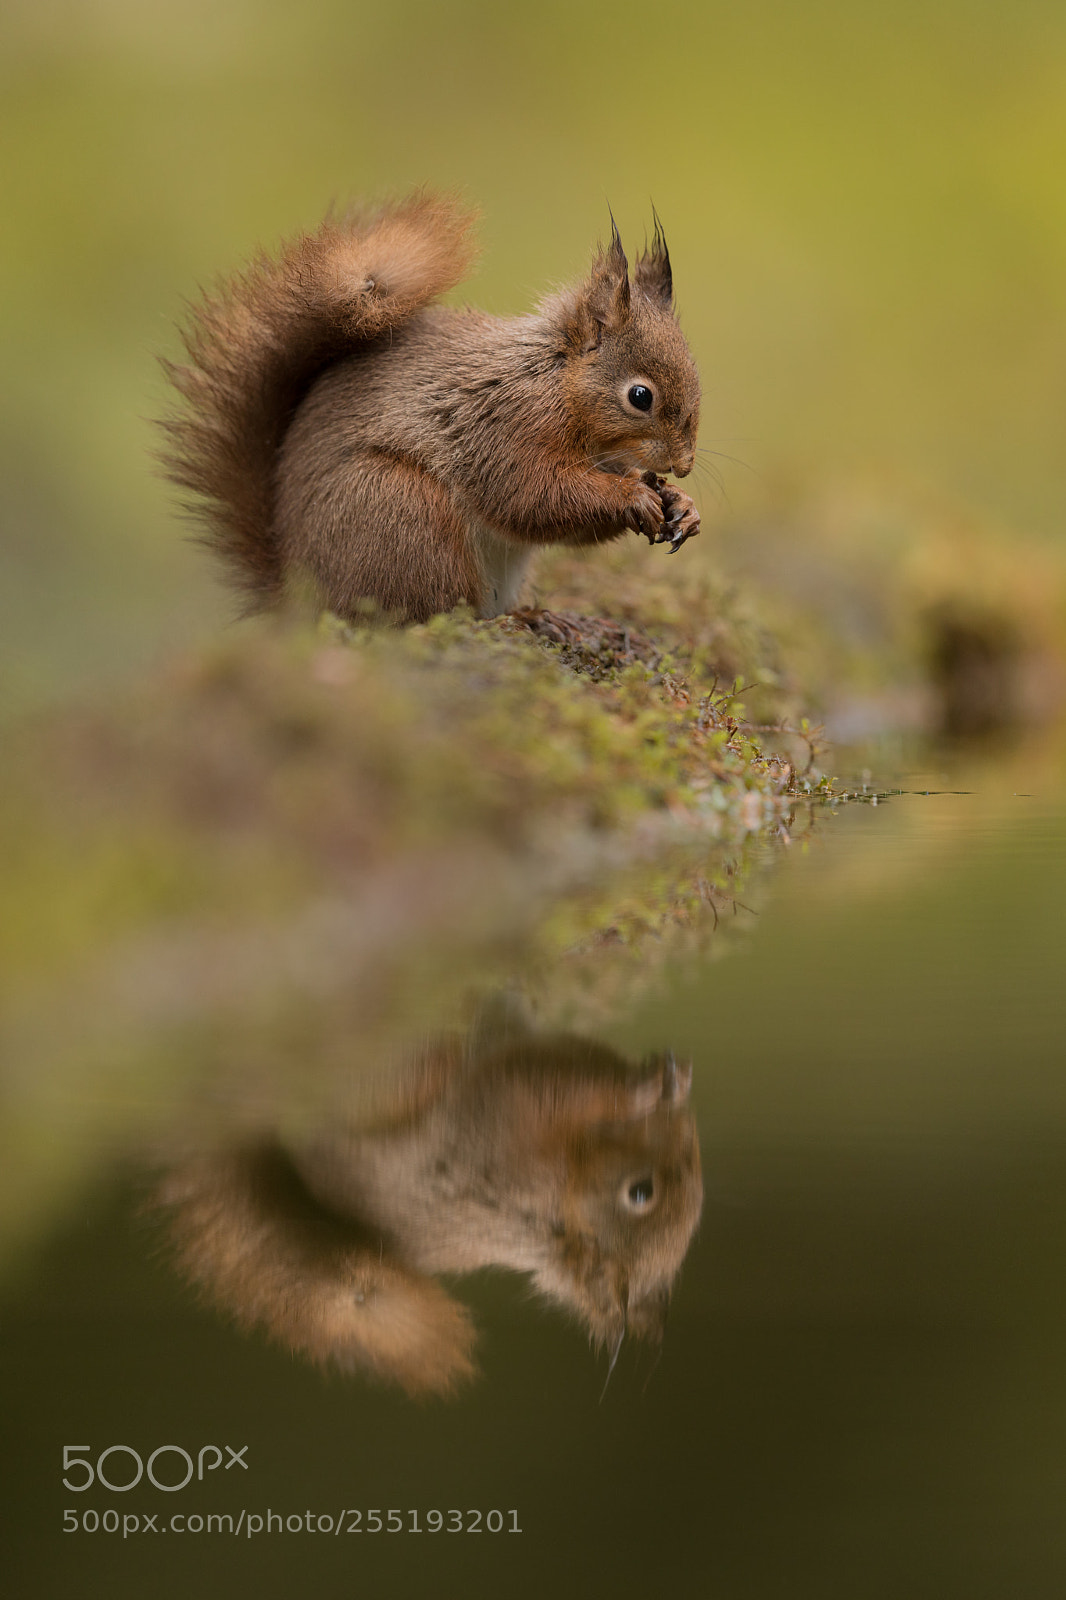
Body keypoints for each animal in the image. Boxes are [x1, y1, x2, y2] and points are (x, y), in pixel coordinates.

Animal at [161, 192, 702, 623]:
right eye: (640, 397)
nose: (684, 464)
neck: (554, 380)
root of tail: (301, 603)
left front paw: (682, 505)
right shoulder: (502, 425)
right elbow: (530, 494)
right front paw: (633, 496)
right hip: (404, 514)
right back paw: (512, 623)